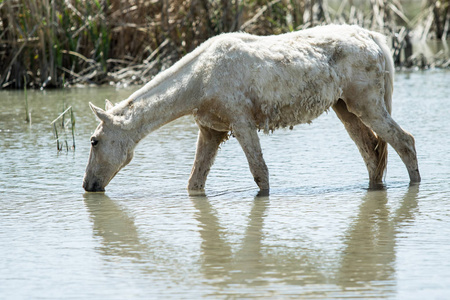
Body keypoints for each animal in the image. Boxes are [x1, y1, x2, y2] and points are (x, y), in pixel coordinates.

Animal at [82, 22, 420, 192]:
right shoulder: (211, 130)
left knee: (404, 141)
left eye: (94, 141)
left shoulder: (242, 123)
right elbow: (194, 181)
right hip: (345, 108)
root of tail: (374, 38)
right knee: (373, 154)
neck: (198, 84)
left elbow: (260, 174)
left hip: (367, 103)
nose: (87, 185)